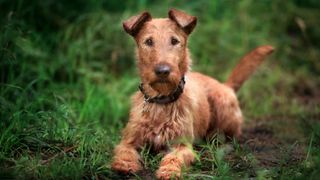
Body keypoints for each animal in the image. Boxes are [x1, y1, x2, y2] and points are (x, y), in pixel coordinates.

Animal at [111, 8, 274, 179]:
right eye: (148, 41)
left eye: (174, 41)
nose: (163, 71)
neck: (161, 100)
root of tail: (226, 86)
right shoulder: (129, 140)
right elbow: (125, 151)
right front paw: (124, 165)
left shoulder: (182, 145)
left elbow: (174, 157)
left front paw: (169, 171)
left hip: (222, 105)